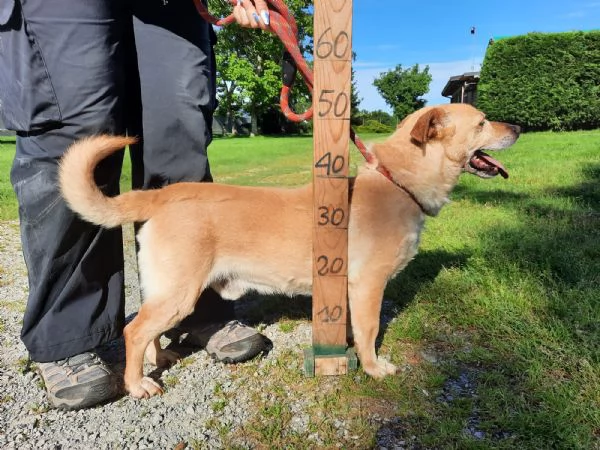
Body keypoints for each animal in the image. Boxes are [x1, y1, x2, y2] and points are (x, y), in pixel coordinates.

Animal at [61, 103, 520, 398]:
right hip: (179, 291)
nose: (518, 127)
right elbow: (370, 331)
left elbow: (353, 328)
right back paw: (136, 383)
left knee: (147, 328)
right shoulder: (369, 284)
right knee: (134, 331)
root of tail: (162, 195)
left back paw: (162, 354)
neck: (396, 182)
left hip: (166, 290)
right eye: (482, 122)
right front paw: (373, 368)